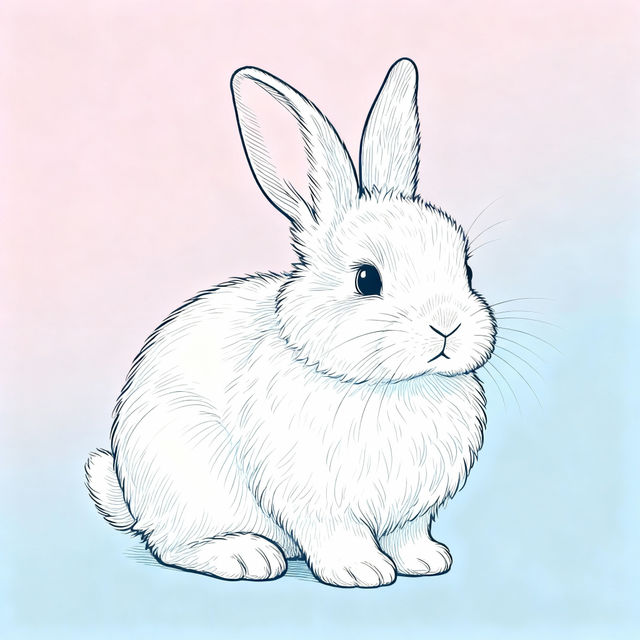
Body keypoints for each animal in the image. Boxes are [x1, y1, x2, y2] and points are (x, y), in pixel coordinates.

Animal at [85, 58, 496, 588]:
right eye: (367, 279)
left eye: (466, 270)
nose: (447, 327)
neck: (391, 386)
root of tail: (133, 501)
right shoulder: (317, 500)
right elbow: (337, 534)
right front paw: (361, 570)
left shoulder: (413, 511)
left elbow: (409, 534)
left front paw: (426, 561)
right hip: (193, 480)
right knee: (173, 546)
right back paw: (245, 556)